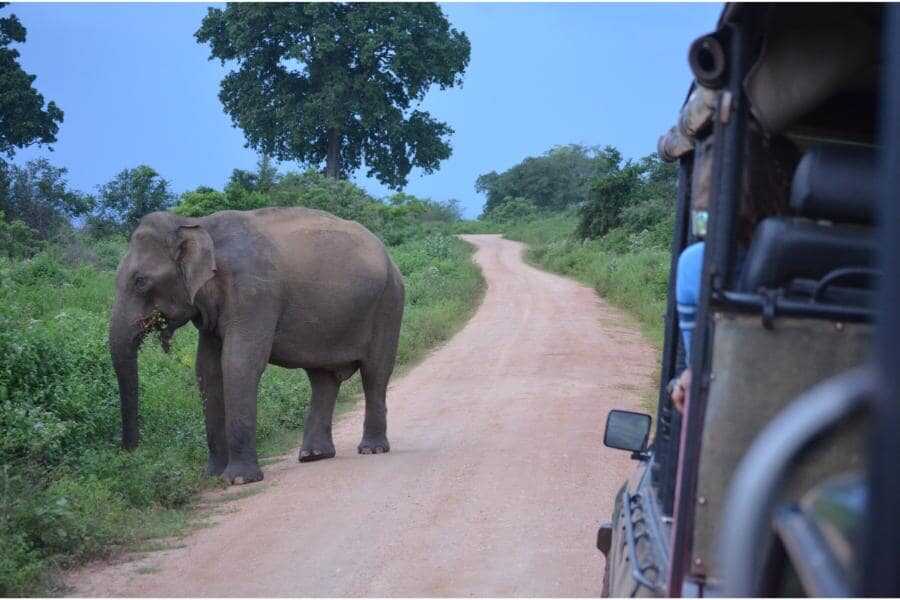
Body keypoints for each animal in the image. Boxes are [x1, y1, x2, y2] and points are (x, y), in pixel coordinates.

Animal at [108, 207, 405, 485]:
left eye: (140, 281)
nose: (129, 453)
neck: (196, 223)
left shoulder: (254, 293)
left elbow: (239, 363)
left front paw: (239, 479)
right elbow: (207, 370)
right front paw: (213, 476)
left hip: (389, 302)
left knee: (375, 373)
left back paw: (372, 449)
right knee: (323, 379)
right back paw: (314, 455)